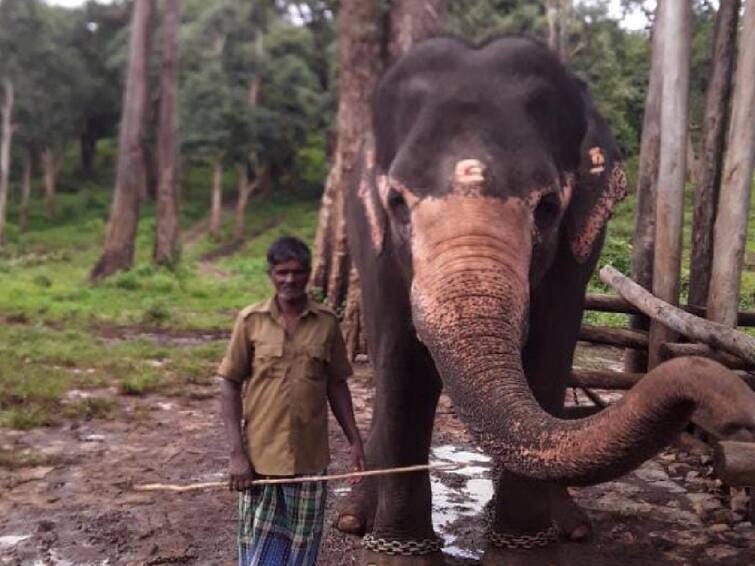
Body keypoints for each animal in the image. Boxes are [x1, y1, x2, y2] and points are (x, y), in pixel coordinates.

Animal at [336, 35, 755, 564]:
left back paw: (568, 525)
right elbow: (400, 359)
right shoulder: (374, 249)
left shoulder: (579, 248)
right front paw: (397, 552)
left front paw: (522, 549)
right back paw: (352, 518)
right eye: (395, 203)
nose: (740, 414)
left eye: (549, 207)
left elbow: (549, 349)